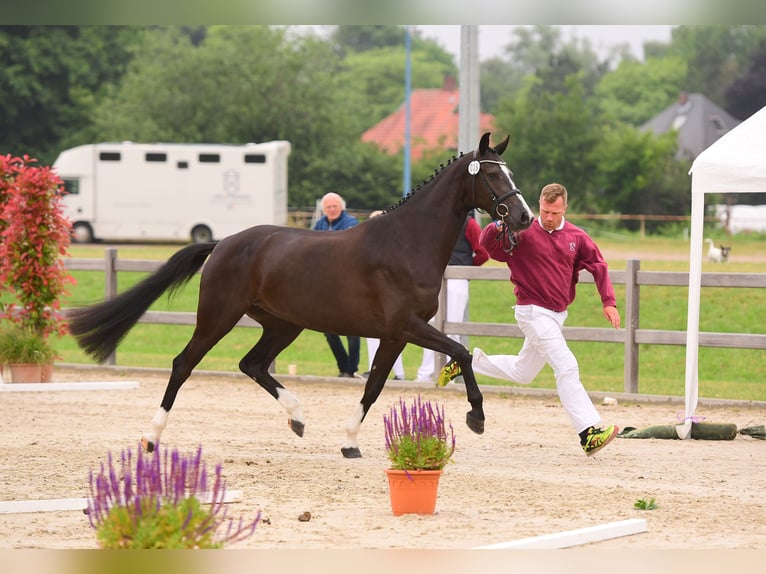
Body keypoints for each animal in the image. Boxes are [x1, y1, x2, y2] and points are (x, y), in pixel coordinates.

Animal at [69, 134, 532, 460]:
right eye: (493, 175)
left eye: (509, 173)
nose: (525, 217)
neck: (405, 242)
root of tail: (223, 243)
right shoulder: (406, 326)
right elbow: (462, 352)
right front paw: (476, 417)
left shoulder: (395, 335)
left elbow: (374, 386)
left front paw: (349, 442)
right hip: (219, 316)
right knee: (184, 364)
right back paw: (151, 439)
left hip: (282, 325)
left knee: (252, 364)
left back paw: (298, 417)